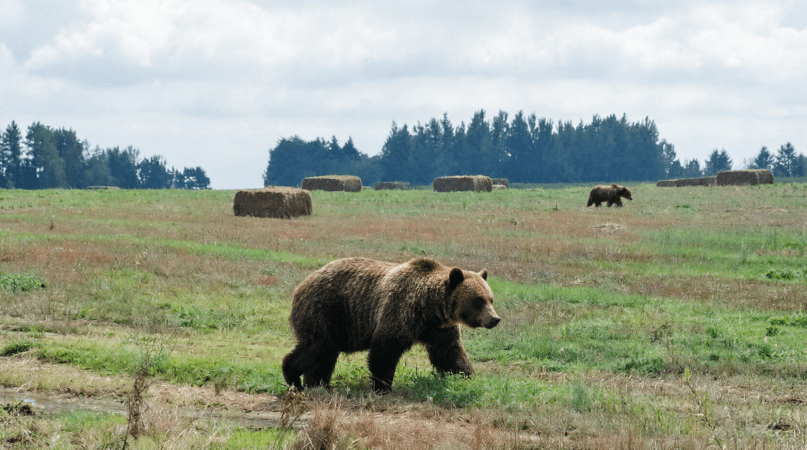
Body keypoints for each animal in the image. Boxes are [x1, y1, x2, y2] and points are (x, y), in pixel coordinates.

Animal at [281, 256, 500, 393]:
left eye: (491, 298)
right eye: (478, 300)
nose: (494, 319)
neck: (431, 308)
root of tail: (301, 285)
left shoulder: (439, 328)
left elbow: (450, 354)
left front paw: (467, 376)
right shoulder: (401, 310)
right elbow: (385, 350)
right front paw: (383, 387)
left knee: (324, 354)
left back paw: (318, 384)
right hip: (325, 311)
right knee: (317, 347)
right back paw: (293, 378)